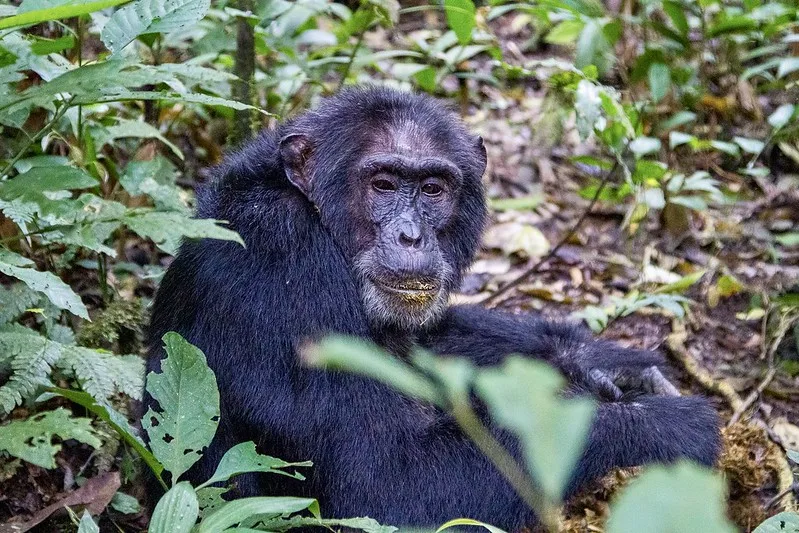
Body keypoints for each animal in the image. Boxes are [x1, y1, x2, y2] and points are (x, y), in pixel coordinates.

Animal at [147, 86, 720, 528]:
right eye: (382, 184)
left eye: (432, 188)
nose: (411, 235)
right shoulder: (280, 260)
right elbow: (382, 485)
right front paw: (660, 426)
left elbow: (432, 342)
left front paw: (603, 364)